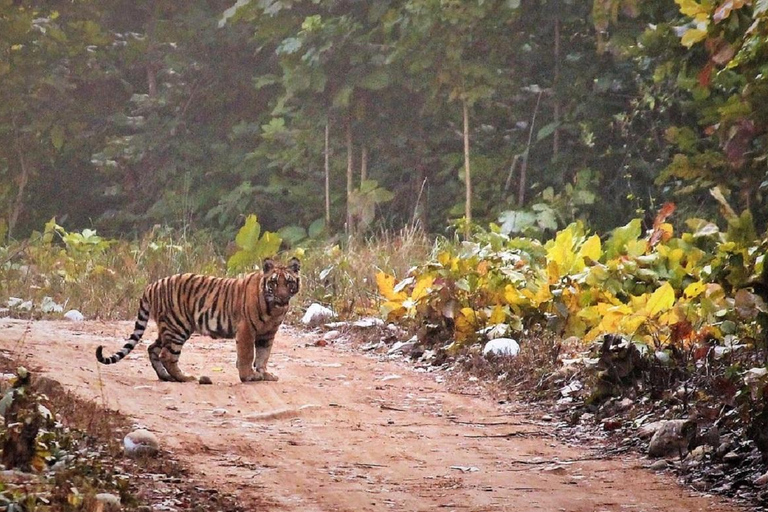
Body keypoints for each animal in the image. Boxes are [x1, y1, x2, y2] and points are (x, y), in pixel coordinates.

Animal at [95, 258, 300, 382]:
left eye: (289, 282)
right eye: (274, 282)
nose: (283, 297)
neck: (274, 308)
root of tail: (151, 285)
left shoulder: (268, 333)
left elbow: (263, 355)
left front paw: (265, 374)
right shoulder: (246, 329)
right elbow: (247, 354)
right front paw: (248, 376)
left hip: (167, 328)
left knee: (153, 348)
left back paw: (165, 377)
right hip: (178, 326)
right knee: (167, 355)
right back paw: (185, 377)